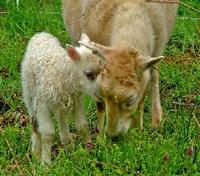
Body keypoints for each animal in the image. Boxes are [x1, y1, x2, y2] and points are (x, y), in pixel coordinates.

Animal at [21, 32, 104, 165]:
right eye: (89, 74)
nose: (102, 95)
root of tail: (41, 34)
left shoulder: (76, 101)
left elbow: (82, 126)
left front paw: (89, 149)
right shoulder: (42, 105)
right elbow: (48, 134)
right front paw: (45, 163)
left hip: (59, 101)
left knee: (61, 118)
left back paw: (68, 144)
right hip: (29, 93)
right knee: (34, 123)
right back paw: (36, 152)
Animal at [62, 0, 178, 137]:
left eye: (131, 100)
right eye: (104, 94)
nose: (113, 136)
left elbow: (142, 98)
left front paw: (138, 129)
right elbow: (100, 105)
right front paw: (100, 135)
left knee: (155, 77)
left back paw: (156, 117)